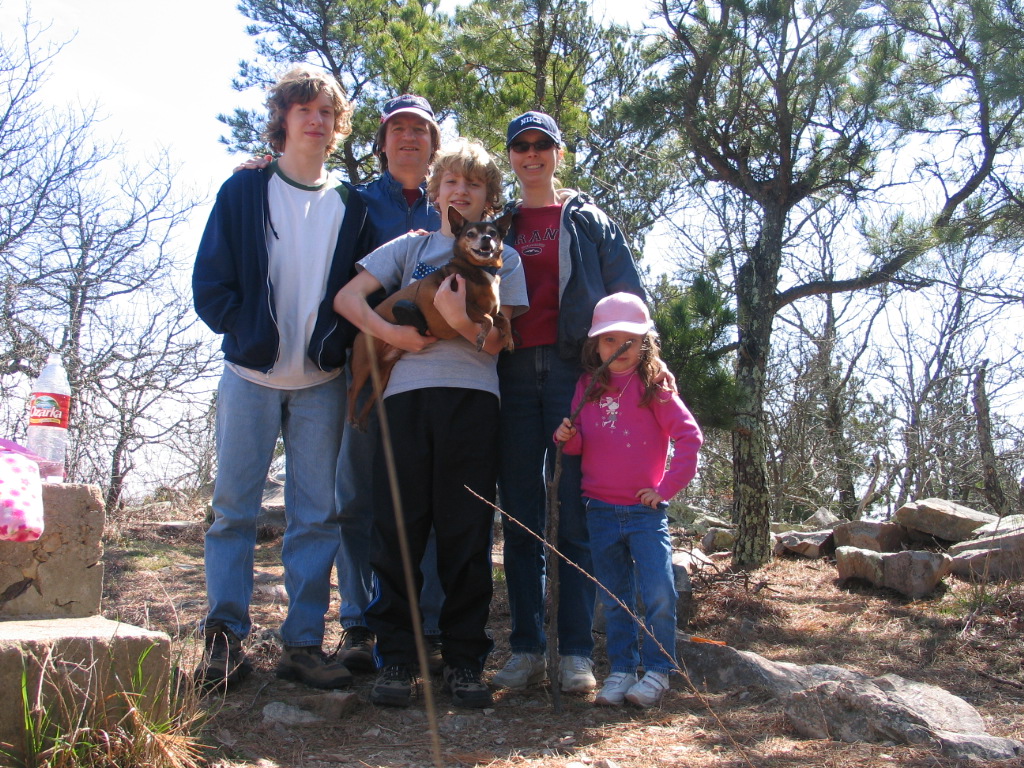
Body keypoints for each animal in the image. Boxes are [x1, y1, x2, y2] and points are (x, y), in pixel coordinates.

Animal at [348, 207, 516, 430]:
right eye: (471, 234)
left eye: (493, 233)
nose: (487, 238)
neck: (481, 270)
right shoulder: (465, 306)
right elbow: (488, 319)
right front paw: (481, 338)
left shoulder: (490, 309)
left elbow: (503, 320)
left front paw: (509, 339)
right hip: (364, 365)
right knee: (352, 391)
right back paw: (351, 418)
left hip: (382, 377)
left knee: (370, 399)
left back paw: (362, 422)